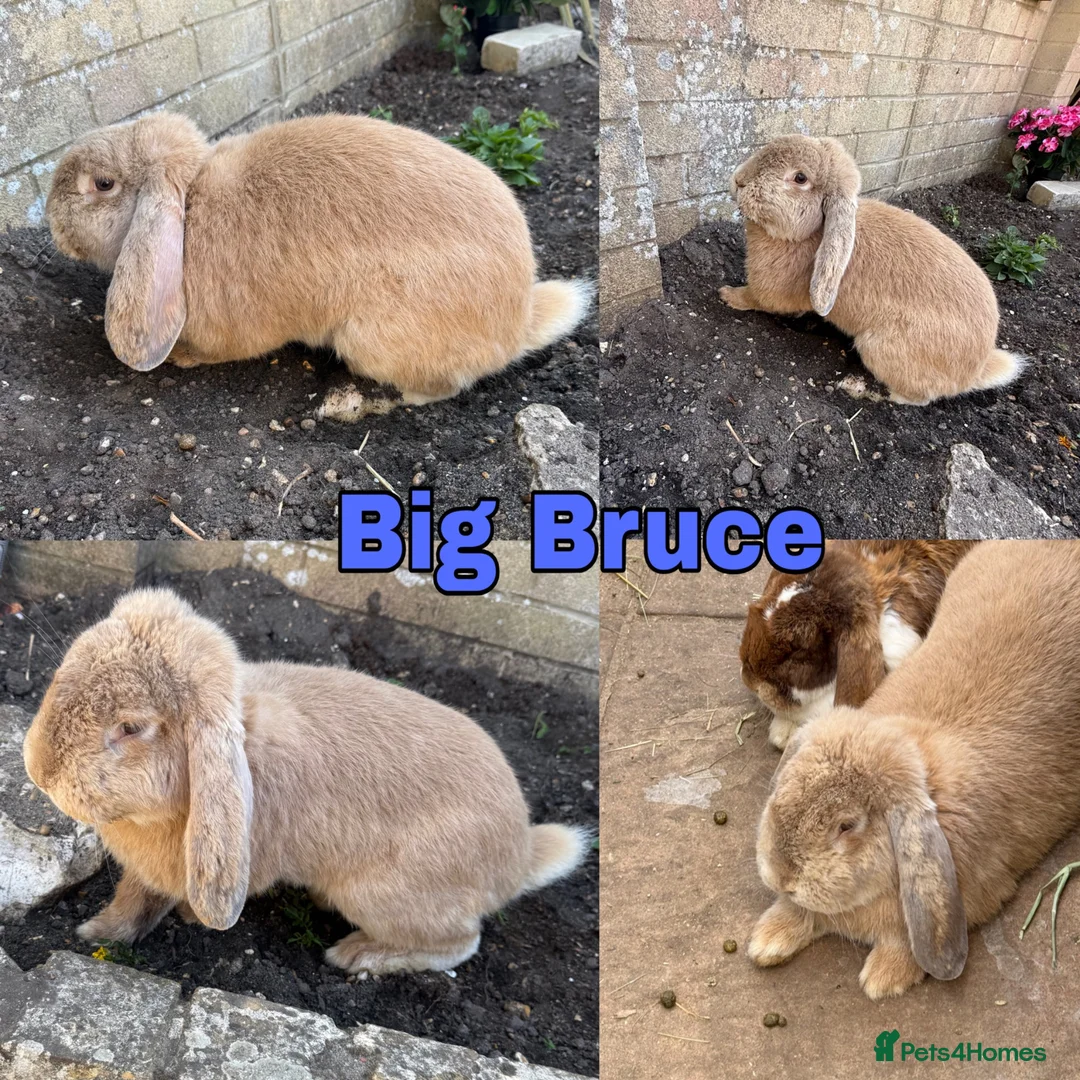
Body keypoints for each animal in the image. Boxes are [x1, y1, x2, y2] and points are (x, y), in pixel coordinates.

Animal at [22, 588, 589, 975]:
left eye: (131, 727)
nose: (37, 769)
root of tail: (518, 859)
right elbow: (133, 902)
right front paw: (94, 932)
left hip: (384, 895)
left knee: (459, 943)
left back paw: (356, 956)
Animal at [45, 111, 592, 406]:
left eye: (103, 184)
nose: (50, 222)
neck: (190, 201)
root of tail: (518, 323)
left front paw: (181, 358)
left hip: (369, 338)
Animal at [721, 134, 1023, 405]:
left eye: (800, 178)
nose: (738, 180)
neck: (813, 233)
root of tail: (975, 371)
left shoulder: (768, 291)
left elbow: (753, 298)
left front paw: (727, 295)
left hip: (879, 347)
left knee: (917, 398)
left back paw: (863, 390)